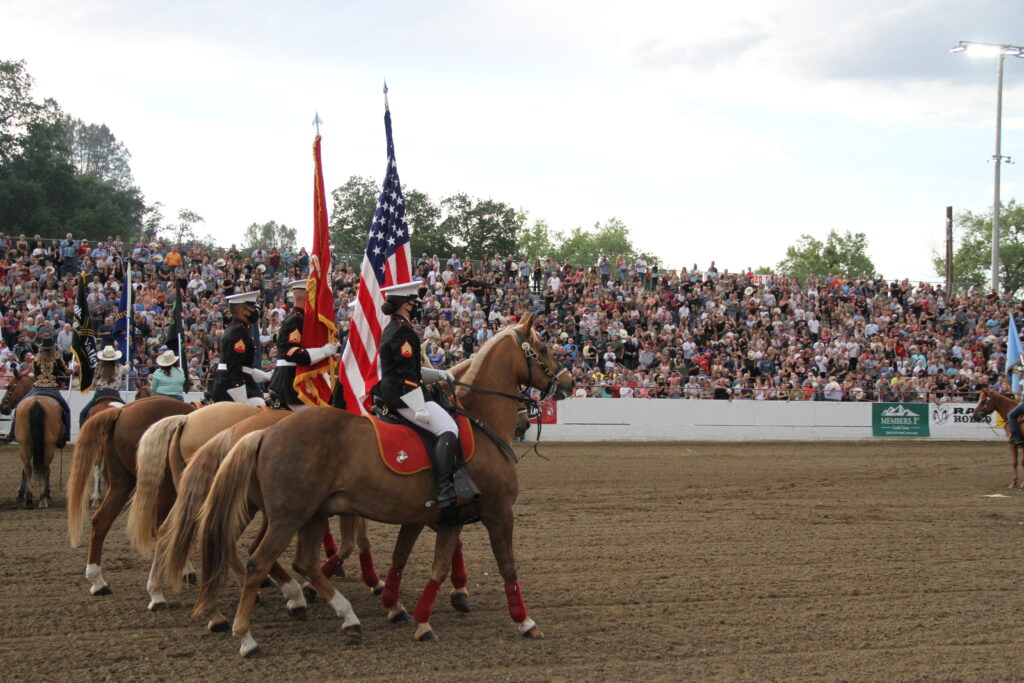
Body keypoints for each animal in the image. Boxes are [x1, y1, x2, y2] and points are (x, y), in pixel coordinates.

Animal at [69, 397, 195, 593]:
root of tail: (121, 412)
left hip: (122, 484)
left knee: (101, 521)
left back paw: (97, 581)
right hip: (164, 485)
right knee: (162, 526)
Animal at [195, 315, 573, 655]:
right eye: (543, 348)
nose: (568, 382)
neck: (481, 423)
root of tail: (264, 432)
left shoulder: (445, 518)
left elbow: (430, 565)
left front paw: (419, 617)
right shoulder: (498, 513)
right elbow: (507, 565)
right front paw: (524, 621)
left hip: (308, 513)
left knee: (301, 560)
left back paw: (339, 613)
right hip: (288, 515)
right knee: (256, 561)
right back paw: (247, 635)